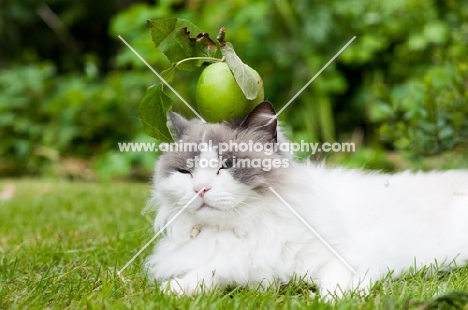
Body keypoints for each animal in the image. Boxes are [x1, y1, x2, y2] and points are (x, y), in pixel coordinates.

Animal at [145, 100, 468, 296]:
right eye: (186, 172)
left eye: (226, 166)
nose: (200, 189)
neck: (248, 227)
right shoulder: (234, 264)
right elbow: (206, 275)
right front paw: (172, 290)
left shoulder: (346, 258)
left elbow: (335, 287)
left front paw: (330, 299)